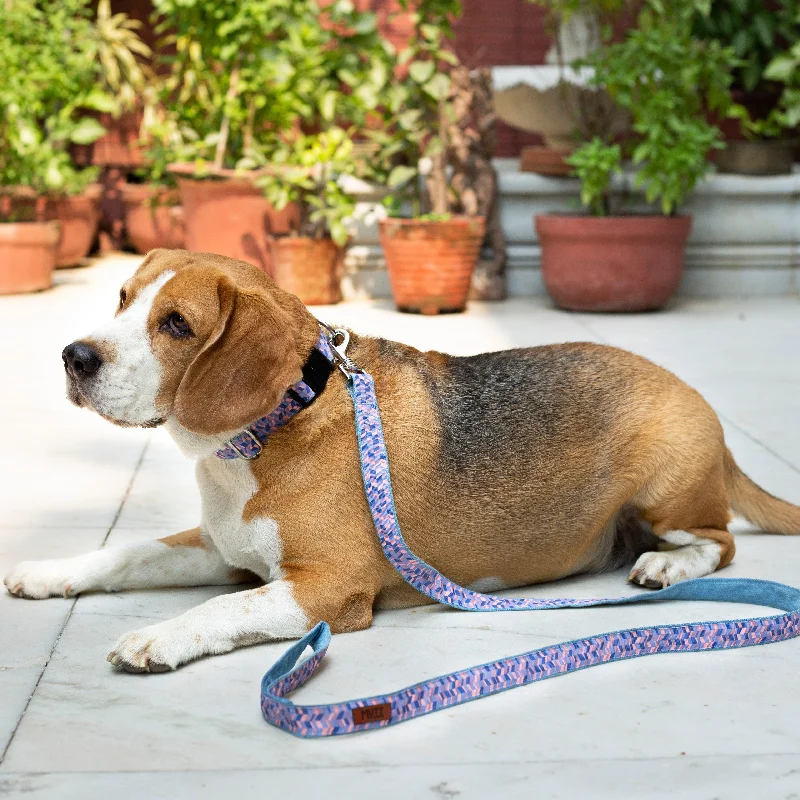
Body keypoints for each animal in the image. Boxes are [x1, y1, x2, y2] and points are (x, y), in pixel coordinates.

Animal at [6, 247, 800, 672]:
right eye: (121, 298)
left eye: (176, 325)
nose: (75, 358)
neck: (276, 424)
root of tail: (695, 397)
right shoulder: (220, 548)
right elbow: (125, 554)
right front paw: (50, 573)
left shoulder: (326, 591)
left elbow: (225, 608)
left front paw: (158, 636)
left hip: (669, 491)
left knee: (721, 543)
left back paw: (667, 564)